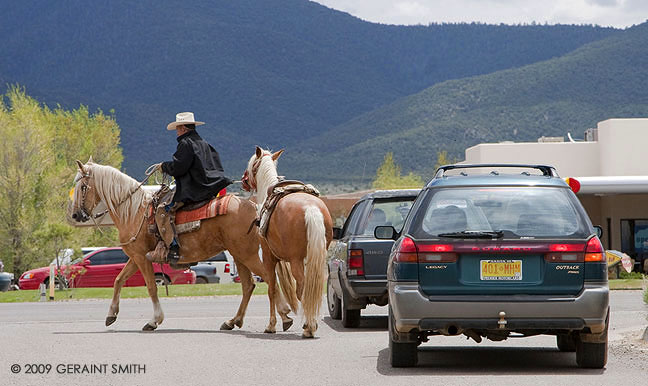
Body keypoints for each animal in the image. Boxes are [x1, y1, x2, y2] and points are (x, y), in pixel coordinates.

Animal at [71, 160, 294, 332]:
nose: (75, 215)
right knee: (249, 285)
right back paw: (233, 321)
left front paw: (154, 321)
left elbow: (151, 287)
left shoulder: (141, 257)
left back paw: (284, 317)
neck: (133, 211)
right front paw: (111, 315)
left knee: (269, 280)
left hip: (247, 254)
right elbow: (118, 280)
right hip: (239, 255)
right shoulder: (136, 257)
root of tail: (254, 206)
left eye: (82, 187)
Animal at [243, 146, 334, 336]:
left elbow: (272, 289)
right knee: (311, 289)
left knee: (302, 289)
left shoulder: (269, 257)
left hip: (296, 261)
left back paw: (309, 327)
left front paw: (271, 325)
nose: (244, 180)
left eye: (252, 165)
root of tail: (311, 208)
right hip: (316, 258)